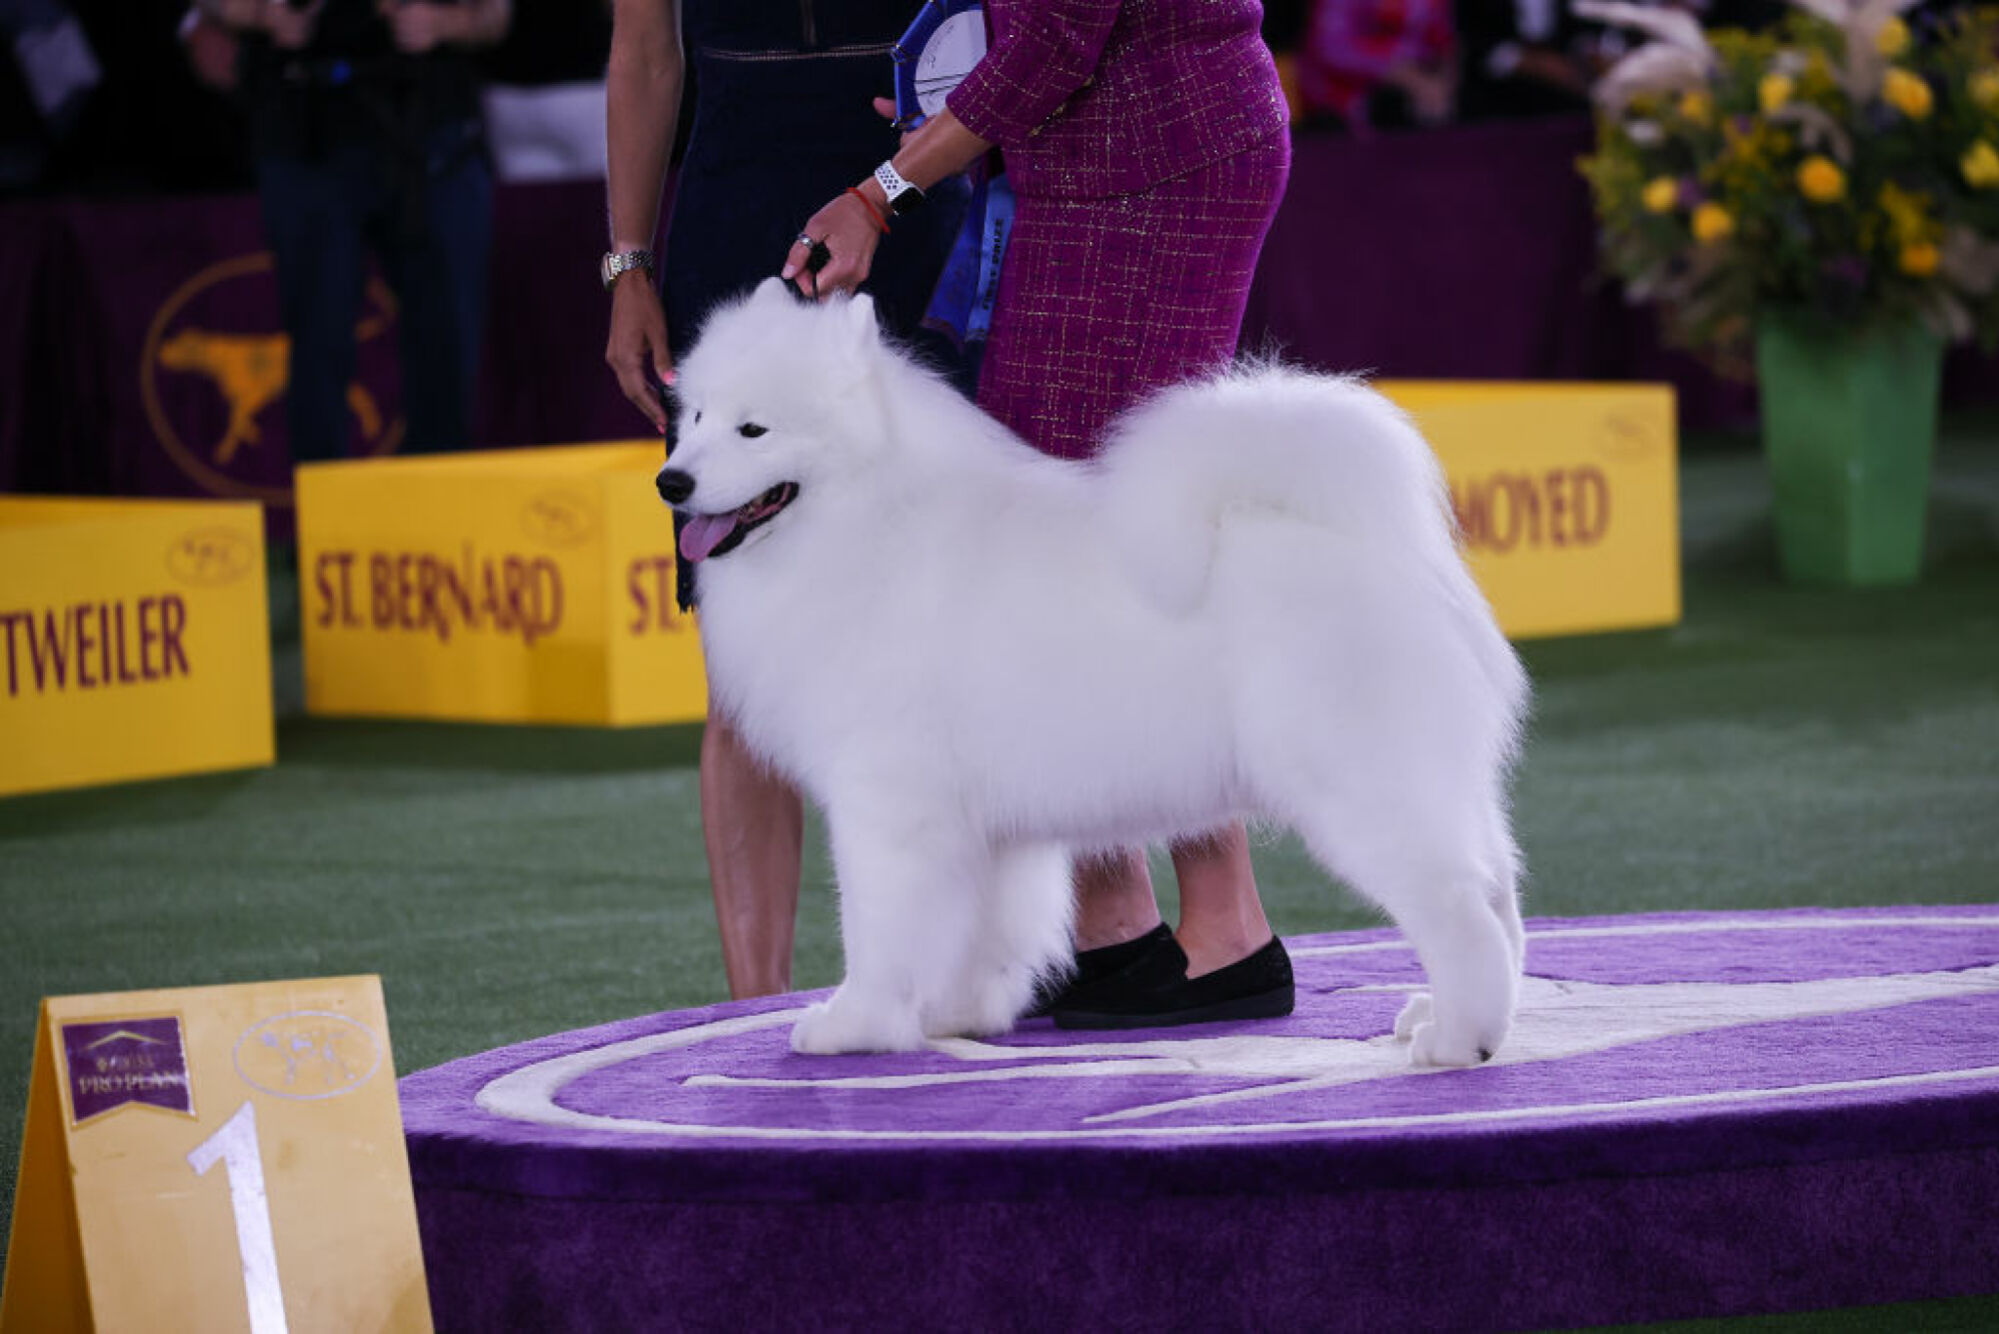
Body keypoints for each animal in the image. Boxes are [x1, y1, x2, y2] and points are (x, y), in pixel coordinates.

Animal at [663, 280, 1519, 1064]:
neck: (870, 520)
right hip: (1441, 783)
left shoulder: (886, 801)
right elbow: (983, 929)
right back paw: (1458, 1014)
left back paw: (1455, 1040)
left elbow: (879, 925)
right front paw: (957, 1015)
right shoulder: (982, 826)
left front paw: (856, 1024)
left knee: (1458, 911)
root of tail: (1387, 552)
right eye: (695, 417)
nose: (669, 482)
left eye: (753, 428)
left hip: (1361, 784)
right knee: (1497, 890)